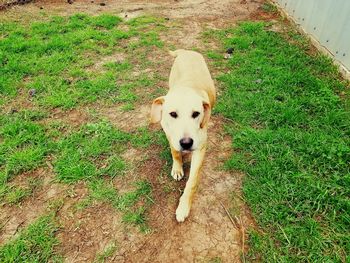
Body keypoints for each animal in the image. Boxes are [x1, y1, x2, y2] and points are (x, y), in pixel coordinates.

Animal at [150, 49, 216, 223]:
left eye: (196, 114)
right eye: (173, 114)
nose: (186, 143)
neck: (187, 88)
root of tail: (188, 51)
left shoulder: (200, 148)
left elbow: (192, 182)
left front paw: (183, 207)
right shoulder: (170, 134)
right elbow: (175, 152)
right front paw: (177, 168)